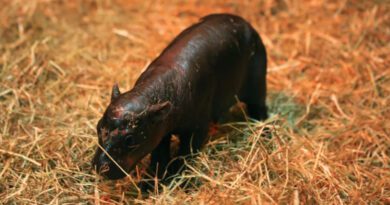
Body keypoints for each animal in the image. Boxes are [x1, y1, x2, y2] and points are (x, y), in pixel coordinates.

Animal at [92, 14, 268, 181]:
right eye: (99, 126)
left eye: (130, 139)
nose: (100, 167)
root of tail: (247, 24)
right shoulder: (160, 130)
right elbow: (159, 155)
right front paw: (150, 182)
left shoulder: (197, 128)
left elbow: (185, 153)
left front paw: (176, 178)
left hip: (257, 86)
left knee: (260, 108)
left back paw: (263, 131)